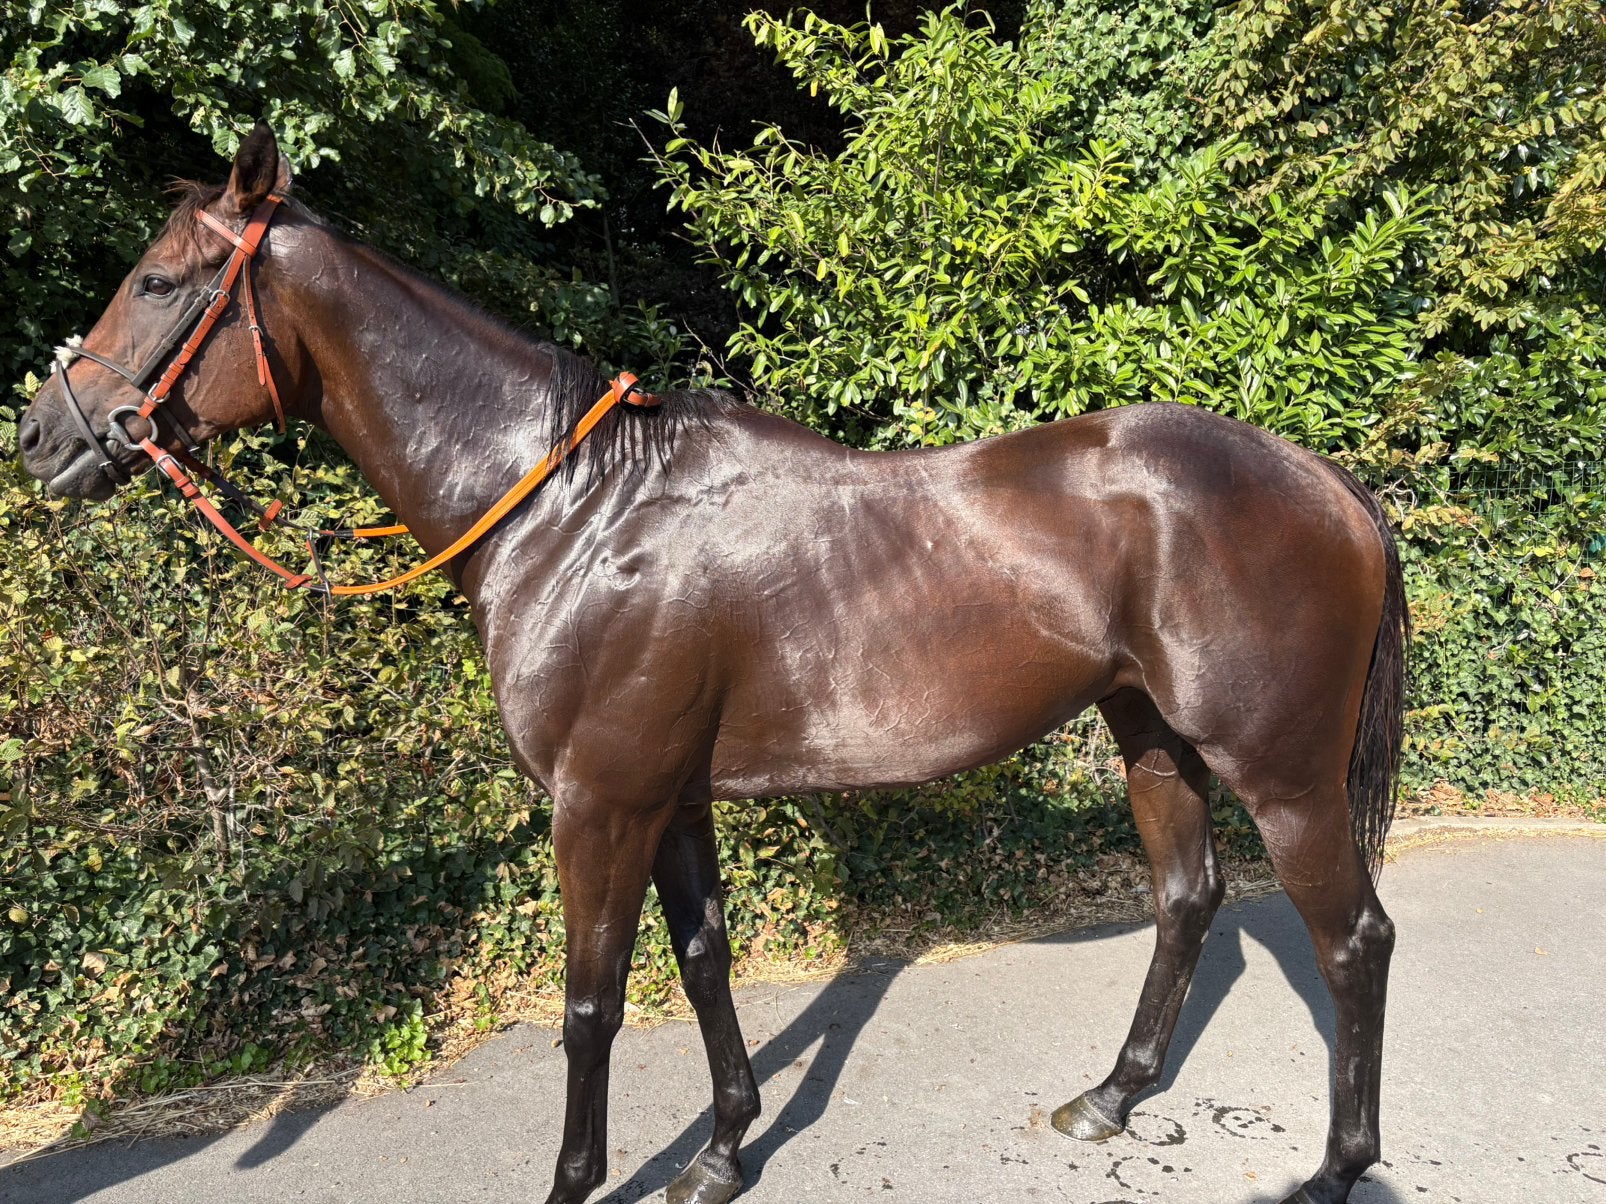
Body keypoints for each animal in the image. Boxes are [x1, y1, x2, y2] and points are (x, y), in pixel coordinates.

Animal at [19, 126, 1406, 1204]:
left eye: (160, 281)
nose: (43, 436)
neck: (574, 508)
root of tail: (1323, 482)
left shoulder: (600, 804)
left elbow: (592, 1003)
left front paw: (578, 1180)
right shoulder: (670, 798)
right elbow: (701, 962)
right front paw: (723, 1150)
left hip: (1281, 773)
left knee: (1352, 941)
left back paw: (1336, 1167)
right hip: (1150, 735)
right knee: (1187, 900)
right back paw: (1109, 1098)